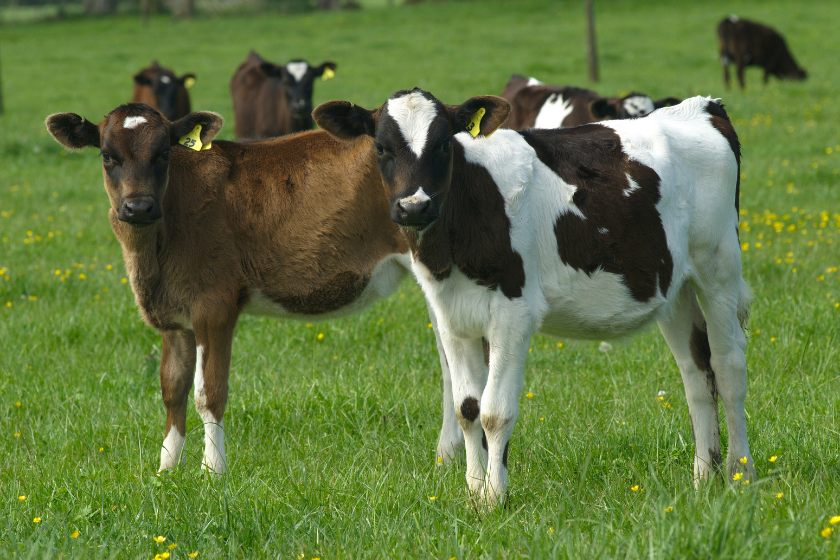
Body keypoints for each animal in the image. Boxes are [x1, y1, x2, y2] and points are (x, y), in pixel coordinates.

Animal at [46, 103, 452, 474]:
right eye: (107, 155)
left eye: (163, 153)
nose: (139, 207)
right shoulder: (174, 316)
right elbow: (172, 388)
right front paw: (166, 470)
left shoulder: (214, 305)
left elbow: (208, 392)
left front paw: (213, 471)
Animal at [318, 88, 756, 508]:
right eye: (380, 147)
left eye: (444, 144)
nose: (414, 207)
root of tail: (701, 107)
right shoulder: (451, 317)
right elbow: (466, 409)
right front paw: (472, 493)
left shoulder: (513, 313)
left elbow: (494, 412)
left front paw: (494, 498)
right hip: (674, 288)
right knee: (697, 374)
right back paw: (704, 478)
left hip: (718, 267)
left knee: (728, 367)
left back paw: (740, 473)